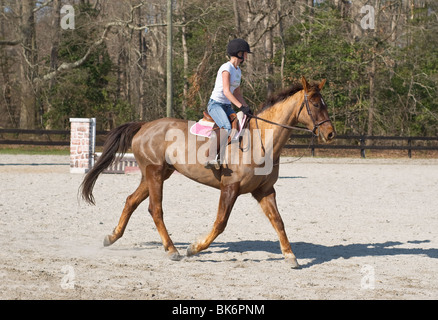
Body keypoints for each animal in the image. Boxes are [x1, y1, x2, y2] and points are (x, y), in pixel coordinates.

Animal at [81, 75, 336, 268]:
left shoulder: (264, 190)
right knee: (155, 209)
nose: (330, 133)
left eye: (324, 103)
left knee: (131, 201)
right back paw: (172, 250)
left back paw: (111, 237)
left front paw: (290, 256)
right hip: (154, 174)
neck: (262, 140)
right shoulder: (230, 187)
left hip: (157, 174)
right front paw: (194, 248)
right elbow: (221, 222)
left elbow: (278, 222)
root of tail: (144, 125)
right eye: (315, 104)